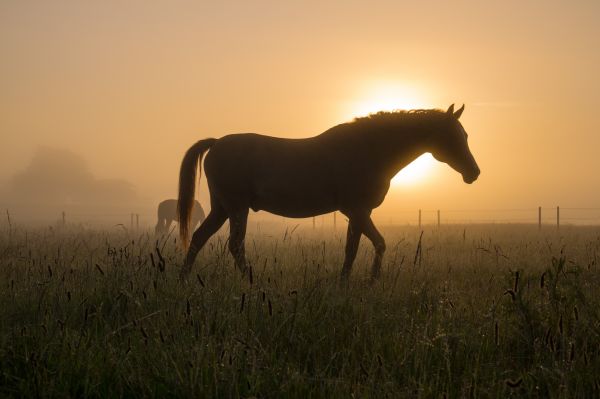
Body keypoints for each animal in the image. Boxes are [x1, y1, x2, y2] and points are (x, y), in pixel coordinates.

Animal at [176, 104, 480, 282]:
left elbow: (365, 246)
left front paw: (359, 281)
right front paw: (358, 282)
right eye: (455, 136)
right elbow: (365, 246)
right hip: (237, 208)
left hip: (222, 209)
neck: (368, 150)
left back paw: (184, 279)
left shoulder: (359, 213)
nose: (474, 173)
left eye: (465, 135)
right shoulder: (357, 211)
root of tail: (216, 143)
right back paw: (251, 282)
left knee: (199, 238)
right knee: (235, 245)